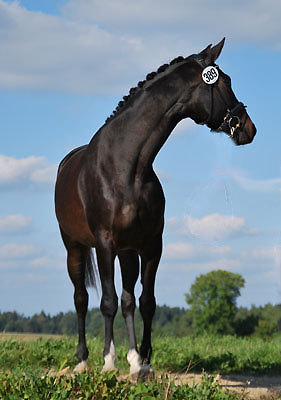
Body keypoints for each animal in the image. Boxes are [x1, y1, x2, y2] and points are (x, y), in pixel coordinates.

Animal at [54, 39, 256, 378]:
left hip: (126, 252)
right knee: (81, 298)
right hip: (75, 247)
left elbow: (145, 301)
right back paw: (82, 361)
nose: (248, 129)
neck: (128, 166)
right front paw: (109, 361)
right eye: (225, 82)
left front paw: (143, 361)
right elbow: (106, 302)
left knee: (127, 299)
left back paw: (131, 358)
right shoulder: (105, 244)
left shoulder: (150, 245)